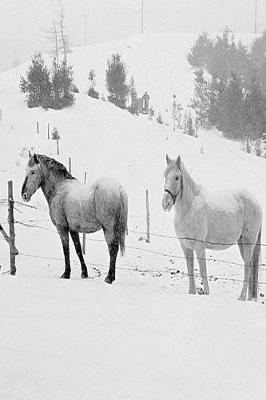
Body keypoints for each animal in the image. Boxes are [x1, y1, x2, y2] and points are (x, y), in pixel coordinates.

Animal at [21, 154, 128, 284]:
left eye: (32, 172)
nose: (24, 195)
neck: (59, 188)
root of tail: (119, 189)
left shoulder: (62, 228)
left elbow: (66, 250)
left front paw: (66, 274)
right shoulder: (73, 229)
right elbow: (78, 249)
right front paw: (84, 273)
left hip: (108, 229)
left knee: (113, 249)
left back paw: (109, 277)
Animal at [162, 155, 262, 302]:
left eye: (176, 177)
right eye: (165, 176)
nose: (166, 203)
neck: (188, 209)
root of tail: (256, 203)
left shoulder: (199, 246)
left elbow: (203, 269)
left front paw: (207, 293)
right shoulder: (185, 246)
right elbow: (190, 268)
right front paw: (192, 292)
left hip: (248, 242)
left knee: (247, 267)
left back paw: (242, 297)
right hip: (241, 243)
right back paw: (249, 298)